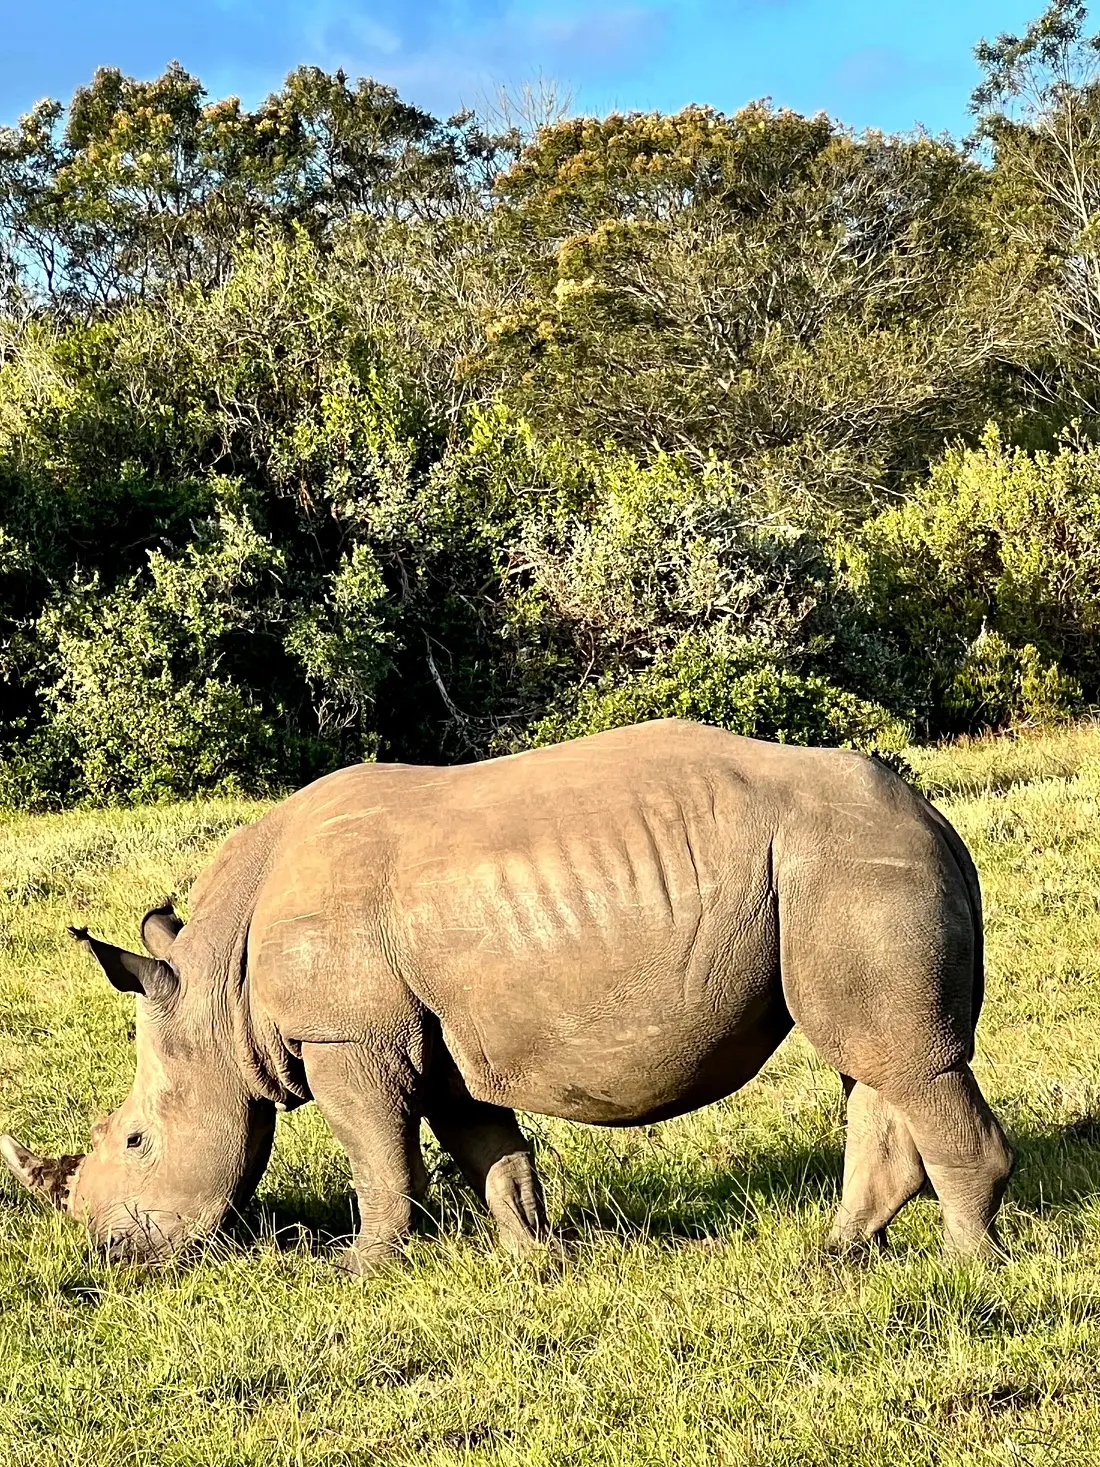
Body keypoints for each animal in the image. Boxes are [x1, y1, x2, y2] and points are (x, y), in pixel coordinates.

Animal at [2, 718, 1014, 1261]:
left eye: (137, 1140)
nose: (106, 1250)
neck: (217, 993)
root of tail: (940, 821)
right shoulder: (438, 1034)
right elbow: (489, 1147)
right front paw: (534, 1256)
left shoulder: (345, 1037)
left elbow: (380, 1158)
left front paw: (360, 1267)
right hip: (829, 876)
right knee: (874, 1063)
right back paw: (837, 1256)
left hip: (850, 868)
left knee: (909, 1063)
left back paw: (969, 1268)